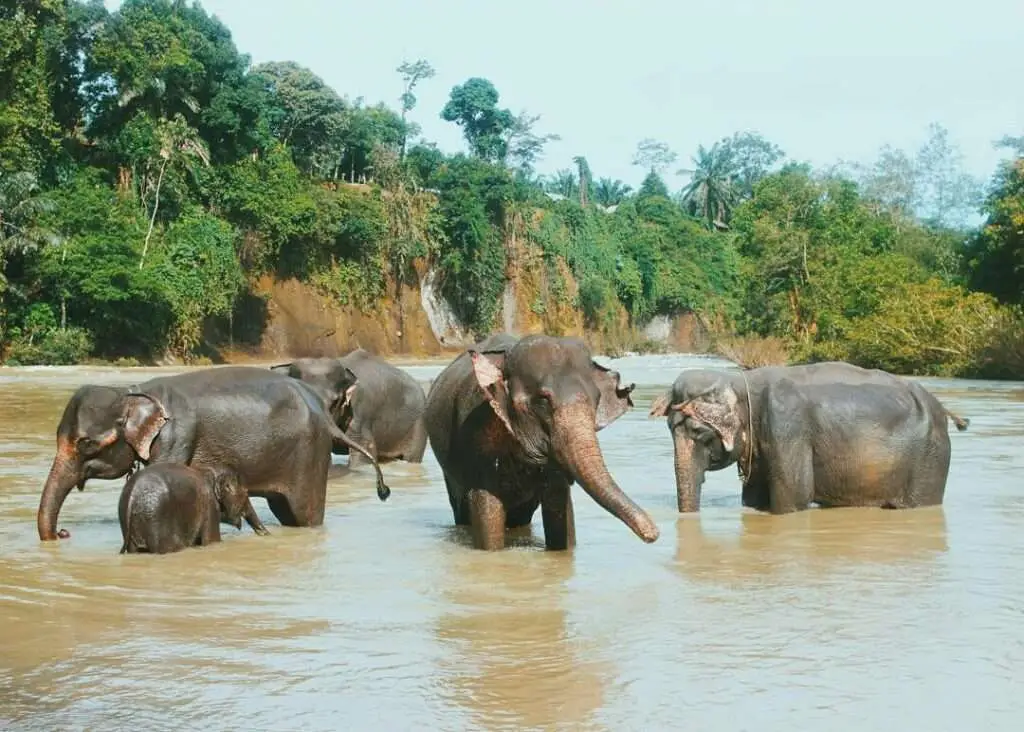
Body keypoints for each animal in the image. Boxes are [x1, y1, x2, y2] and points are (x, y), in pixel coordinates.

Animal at [37, 366, 391, 542]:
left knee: (305, 515)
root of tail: (328, 419)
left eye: (85, 444)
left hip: (310, 456)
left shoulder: (177, 437)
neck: (133, 392)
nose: (63, 533)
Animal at [118, 463, 267, 554]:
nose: (266, 534)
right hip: (157, 521)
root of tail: (133, 494)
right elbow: (211, 541)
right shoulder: (209, 504)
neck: (211, 470)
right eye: (246, 493)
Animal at [424, 332, 660, 551]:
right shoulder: (476, 435)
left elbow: (559, 506)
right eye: (543, 399)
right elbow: (488, 508)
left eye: (597, 399)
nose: (654, 535)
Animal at [648, 361, 971, 515]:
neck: (742, 383)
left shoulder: (787, 428)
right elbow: (753, 498)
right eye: (670, 429)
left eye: (698, 433)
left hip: (931, 459)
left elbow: (794, 500)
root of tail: (942, 407)